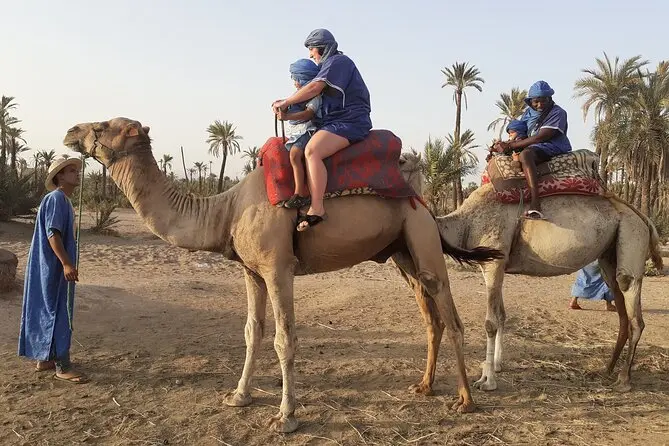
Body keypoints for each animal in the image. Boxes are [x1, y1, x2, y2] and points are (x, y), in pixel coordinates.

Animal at [62, 117, 503, 433]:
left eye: (102, 126)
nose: (70, 131)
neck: (226, 210)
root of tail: (424, 200)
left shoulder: (278, 270)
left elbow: (283, 339)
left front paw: (285, 417)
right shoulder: (251, 272)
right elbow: (251, 331)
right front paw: (238, 396)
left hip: (421, 237)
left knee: (450, 315)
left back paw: (466, 399)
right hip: (401, 253)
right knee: (431, 318)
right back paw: (424, 386)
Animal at [404, 154, 664, 394]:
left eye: (402, 161)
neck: (464, 223)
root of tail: (641, 215)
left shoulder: (494, 262)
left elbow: (490, 322)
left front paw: (487, 381)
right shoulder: (495, 265)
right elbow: (501, 316)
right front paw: (496, 366)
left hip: (631, 233)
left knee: (633, 308)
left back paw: (624, 379)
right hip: (610, 251)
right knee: (621, 309)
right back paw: (607, 369)